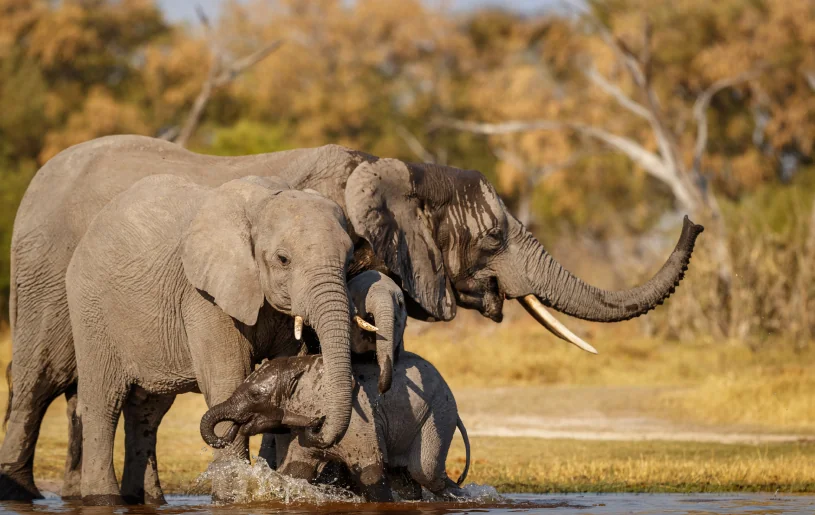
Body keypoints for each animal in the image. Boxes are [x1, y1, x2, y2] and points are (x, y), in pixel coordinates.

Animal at [63, 174, 358, 505]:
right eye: (283, 259)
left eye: (349, 261)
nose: (318, 424)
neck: (261, 203)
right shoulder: (204, 298)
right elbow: (226, 379)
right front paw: (234, 497)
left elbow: (286, 370)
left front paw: (282, 488)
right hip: (91, 308)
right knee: (103, 401)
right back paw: (103, 500)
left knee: (147, 412)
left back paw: (148, 500)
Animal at [201, 353, 471, 502]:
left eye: (255, 395)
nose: (234, 428)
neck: (301, 366)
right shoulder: (301, 433)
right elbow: (297, 471)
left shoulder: (360, 421)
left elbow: (371, 472)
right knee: (406, 478)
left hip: (438, 414)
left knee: (425, 472)